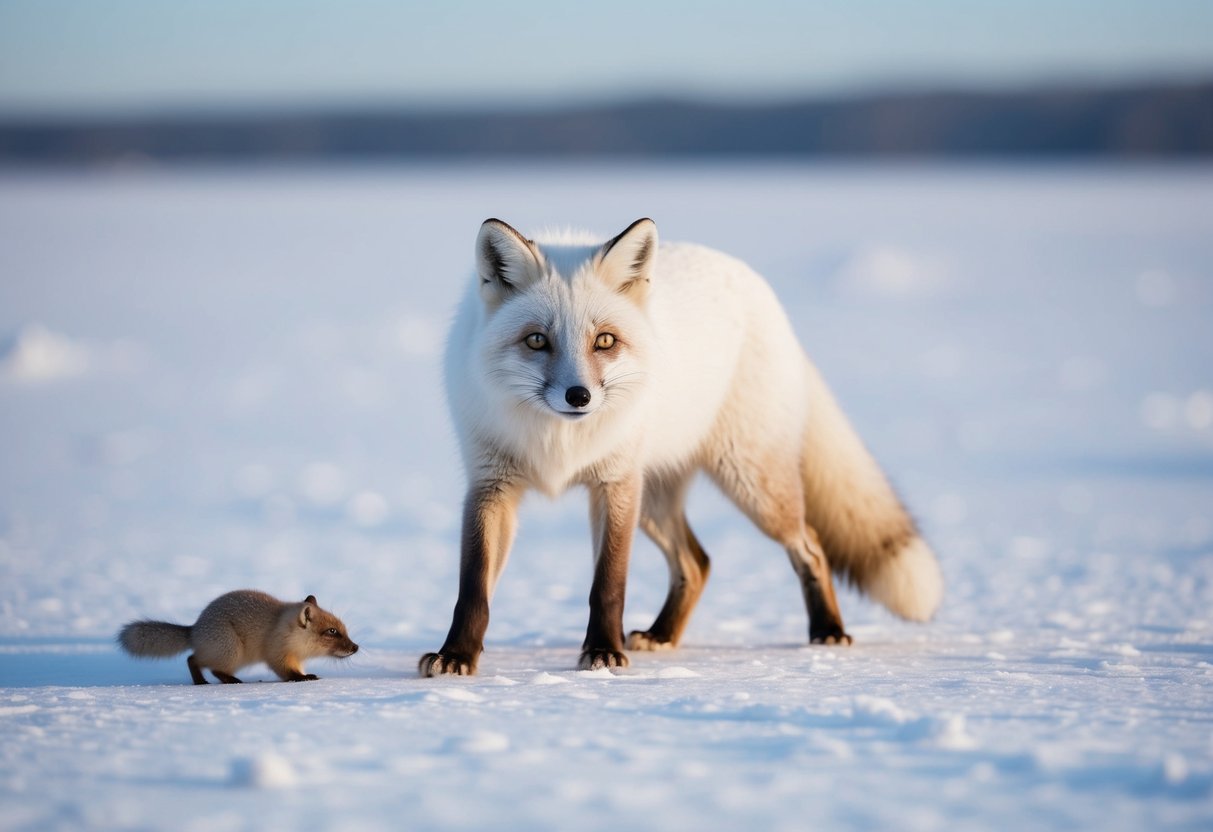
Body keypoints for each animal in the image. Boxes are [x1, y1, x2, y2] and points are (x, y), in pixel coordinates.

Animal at [119, 590, 359, 684]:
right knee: (195, 660)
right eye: (332, 632)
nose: (356, 647)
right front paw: (304, 678)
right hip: (231, 651)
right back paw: (211, 682)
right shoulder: (277, 655)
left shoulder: (296, 658)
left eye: (342, 629)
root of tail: (194, 629)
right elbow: (289, 673)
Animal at [419, 218, 943, 676]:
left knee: (810, 546)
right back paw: (662, 634)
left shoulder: (615, 484)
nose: (579, 397)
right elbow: (473, 589)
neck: (558, 442)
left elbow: (608, 584)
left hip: (750, 488)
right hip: (655, 500)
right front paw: (456, 656)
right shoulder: (491, 485)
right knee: (698, 562)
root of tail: (756, 285)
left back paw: (828, 631)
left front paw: (603, 653)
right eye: (536, 341)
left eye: (604, 341)